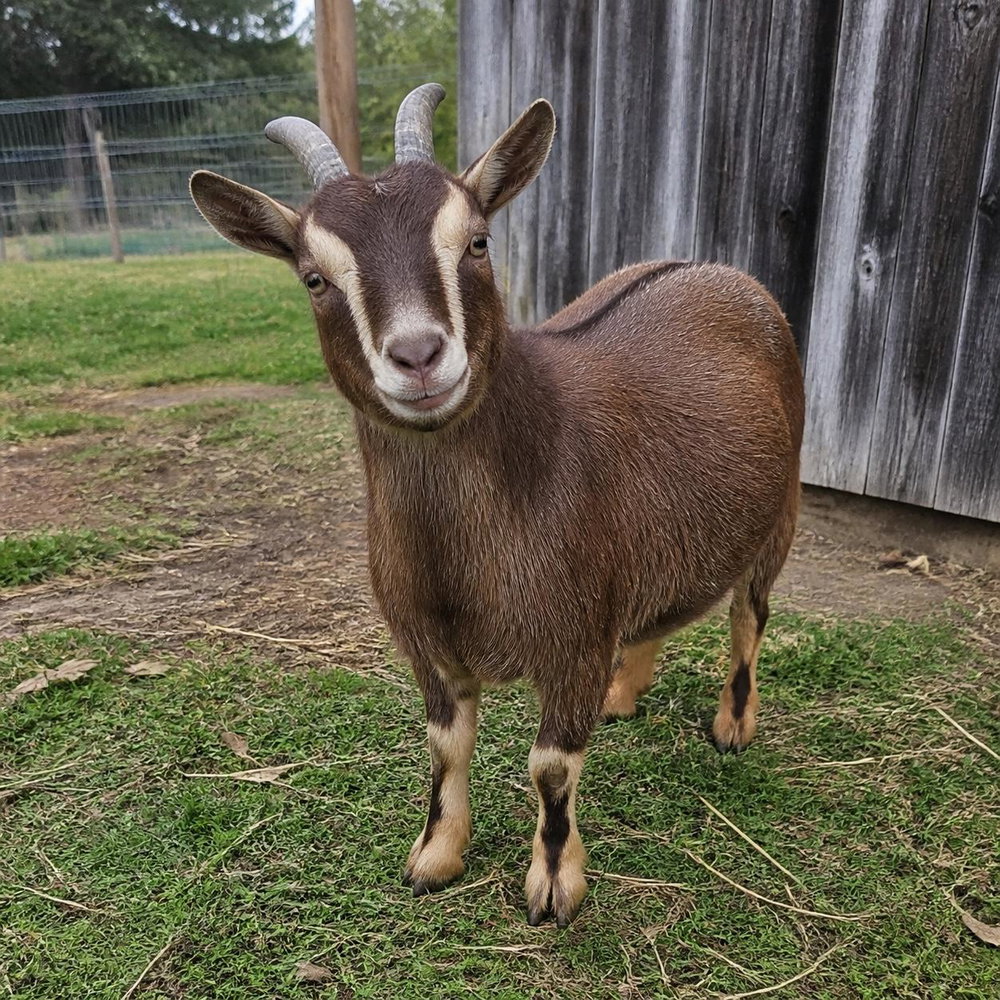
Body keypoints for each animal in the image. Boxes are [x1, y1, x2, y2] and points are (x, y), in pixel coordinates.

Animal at [189, 84, 805, 928]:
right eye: (313, 278)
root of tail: (718, 270)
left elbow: (551, 767)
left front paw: (553, 885)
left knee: (749, 614)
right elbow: (445, 747)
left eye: (477, 242)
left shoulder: (573, 638)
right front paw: (434, 857)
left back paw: (733, 724)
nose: (419, 356)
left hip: (781, 512)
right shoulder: (429, 645)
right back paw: (625, 694)